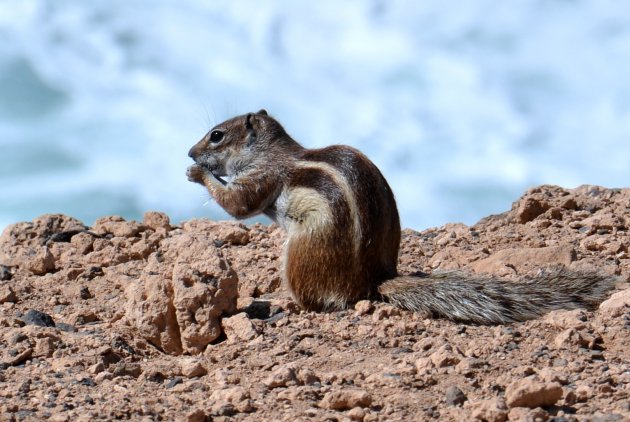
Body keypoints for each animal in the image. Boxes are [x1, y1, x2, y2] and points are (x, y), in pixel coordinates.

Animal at [188, 110, 616, 324]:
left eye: (216, 135)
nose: (190, 153)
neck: (272, 151)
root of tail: (376, 278)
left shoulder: (263, 176)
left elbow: (239, 204)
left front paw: (198, 174)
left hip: (303, 251)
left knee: (320, 300)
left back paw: (284, 302)